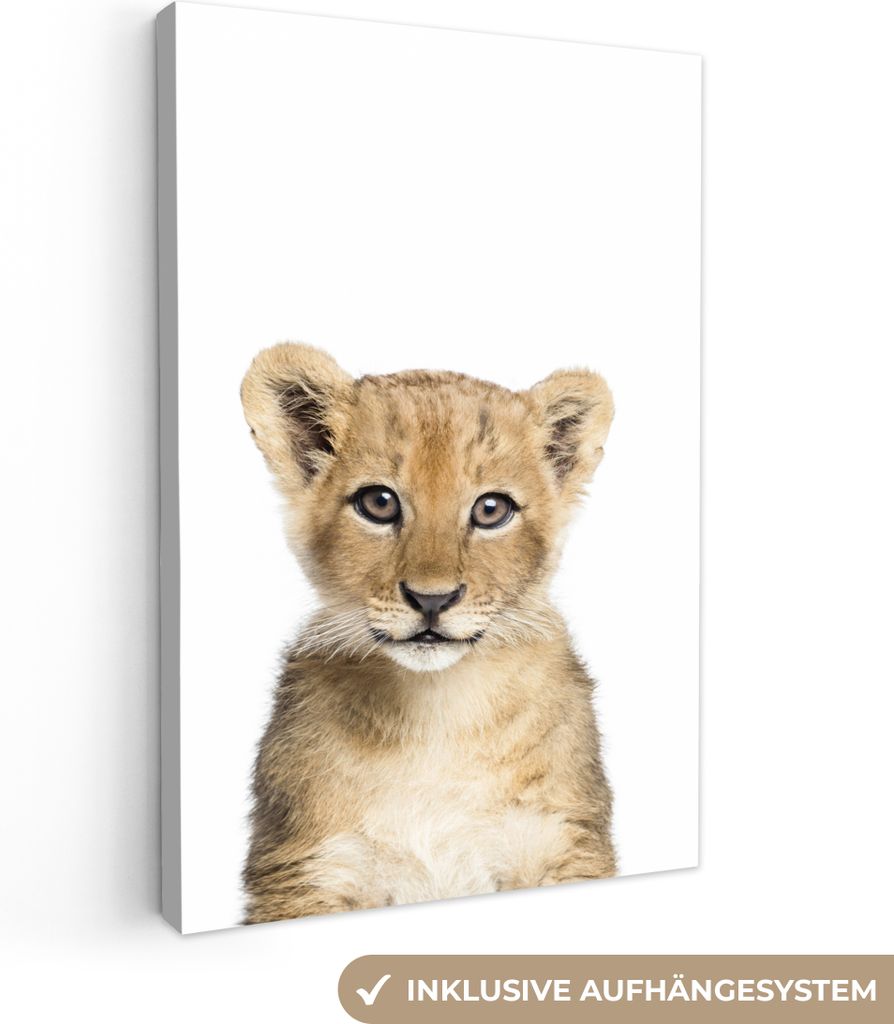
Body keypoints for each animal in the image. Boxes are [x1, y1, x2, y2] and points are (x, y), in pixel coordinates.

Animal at [240, 343, 617, 923]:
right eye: (379, 503)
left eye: (491, 509)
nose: (432, 600)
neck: (438, 713)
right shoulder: (309, 868)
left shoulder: (562, 843)